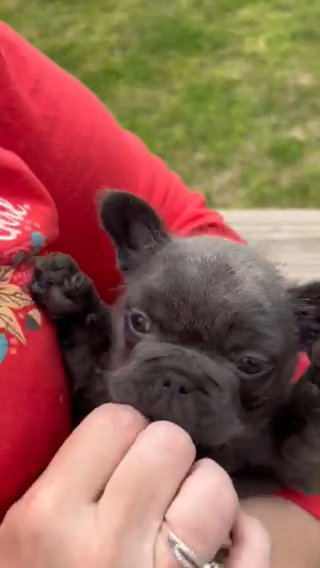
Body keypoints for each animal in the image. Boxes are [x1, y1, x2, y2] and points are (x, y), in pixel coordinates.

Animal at [30, 191, 320, 496]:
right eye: (139, 322)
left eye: (250, 363)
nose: (177, 377)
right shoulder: (93, 388)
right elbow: (88, 345)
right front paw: (65, 288)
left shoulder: (296, 469)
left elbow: (304, 435)